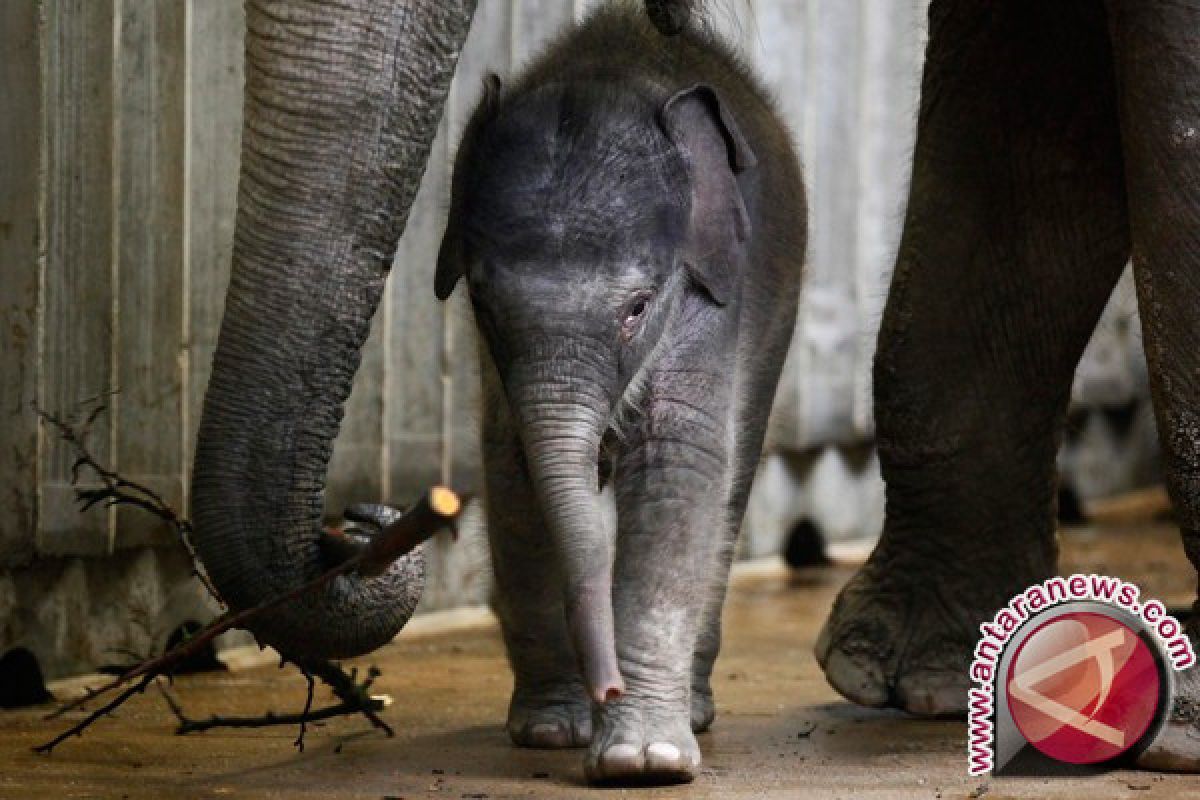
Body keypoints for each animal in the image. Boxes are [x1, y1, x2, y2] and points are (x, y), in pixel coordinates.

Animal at [434, 3, 806, 786]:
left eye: (636, 308)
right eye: (482, 303)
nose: (606, 687)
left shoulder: (711, 290)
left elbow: (678, 467)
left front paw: (644, 761)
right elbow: (515, 471)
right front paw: (552, 731)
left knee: (731, 484)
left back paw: (694, 711)